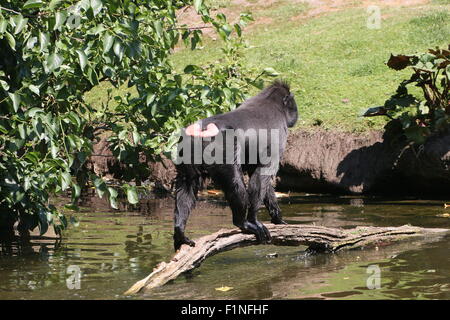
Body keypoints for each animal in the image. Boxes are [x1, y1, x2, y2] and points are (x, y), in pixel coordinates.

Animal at [172, 79, 298, 250]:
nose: (296, 114)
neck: (271, 101)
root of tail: (203, 129)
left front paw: (277, 218)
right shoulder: (278, 137)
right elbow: (262, 176)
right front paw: (254, 219)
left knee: (187, 182)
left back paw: (180, 231)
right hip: (225, 149)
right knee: (235, 184)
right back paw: (243, 223)